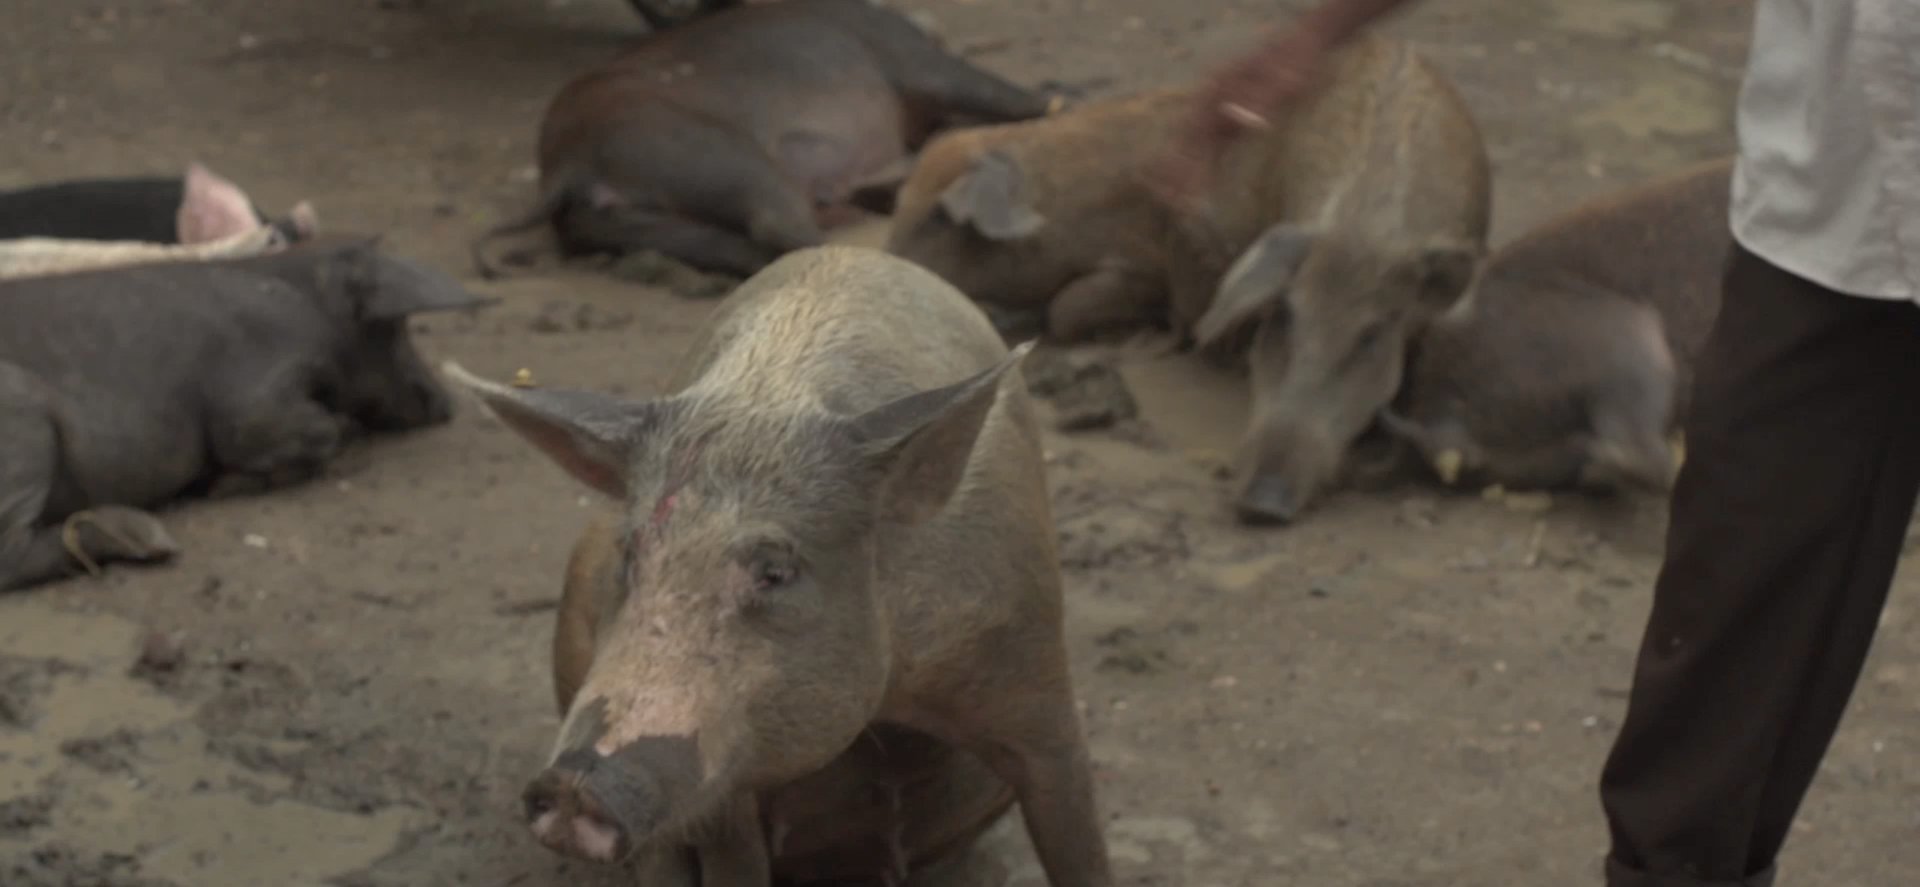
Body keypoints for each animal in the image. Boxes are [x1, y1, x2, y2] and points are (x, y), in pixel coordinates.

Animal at [0, 236, 495, 593]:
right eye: (394, 328)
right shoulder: (253, 398)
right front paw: (221, 485)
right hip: (23, 426)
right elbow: (311, 432)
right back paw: (151, 537)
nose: (445, 405)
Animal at [443, 244, 1113, 886]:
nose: (570, 784)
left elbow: (1076, 834)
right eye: (630, 556)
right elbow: (733, 864)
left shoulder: (1030, 656)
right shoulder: (726, 782)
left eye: (775, 571)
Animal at [470, 0, 1053, 279]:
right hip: (716, 154)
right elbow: (1005, 94)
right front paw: (1056, 99)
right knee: (778, 222)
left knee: (741, 246)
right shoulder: (913, 60)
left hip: (625, 224)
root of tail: (565, 165)